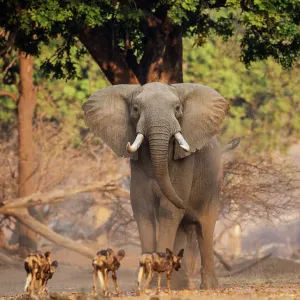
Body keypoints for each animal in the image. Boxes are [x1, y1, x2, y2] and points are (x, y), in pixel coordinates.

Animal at [83, 82, 231, 290]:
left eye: (177, 108)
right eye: (136, 109)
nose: (186, 204)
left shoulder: (185, 165)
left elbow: (169, 212)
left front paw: (153, 281)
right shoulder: (137, 169)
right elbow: (142, 210)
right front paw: (149, 281)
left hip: (215, 184)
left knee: (205, 228)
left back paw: (209, 287)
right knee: (183, 228)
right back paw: (180, 285)